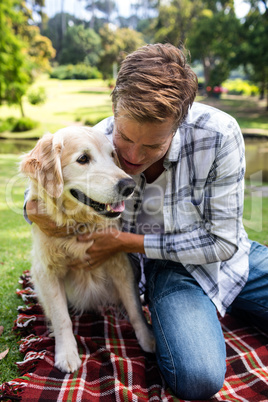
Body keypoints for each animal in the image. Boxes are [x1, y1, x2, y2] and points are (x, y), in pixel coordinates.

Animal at [20, 126, 155, 374]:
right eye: (83, 159)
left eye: (112, 155)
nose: (128, 186)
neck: (80, 224)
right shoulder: (47, 272)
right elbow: (62, 317)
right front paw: (66, 353)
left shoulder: (121, 265)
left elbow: (134, 308)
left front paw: (148, 338)